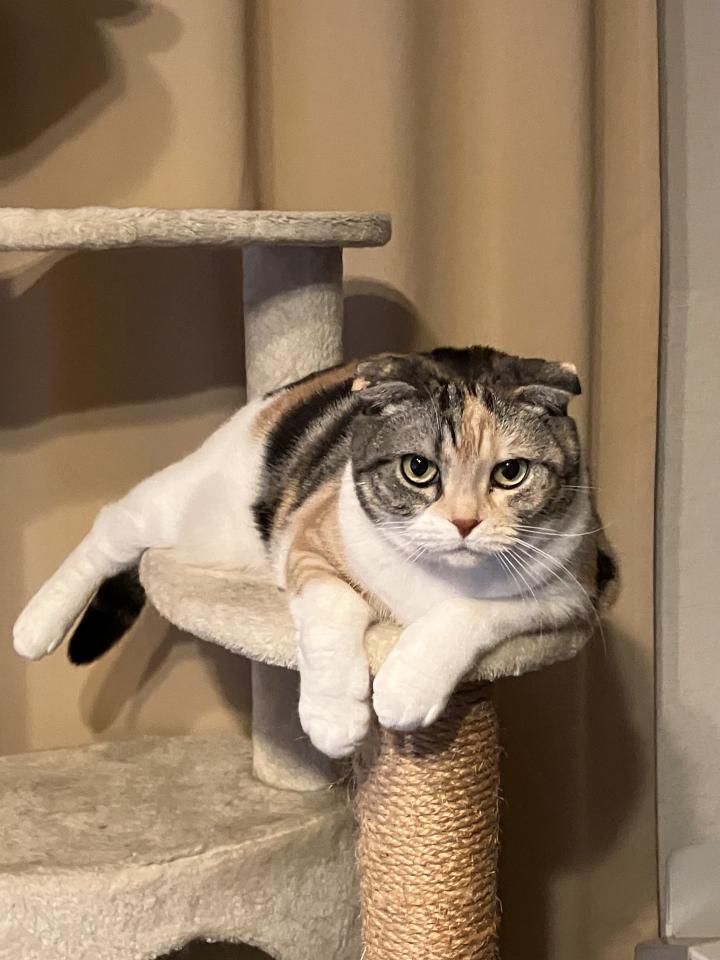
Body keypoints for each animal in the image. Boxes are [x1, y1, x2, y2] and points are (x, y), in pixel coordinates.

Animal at [13, 346, 616, 758]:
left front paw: (406, 687)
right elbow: (334, 611)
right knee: (115, 525)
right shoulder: (310, 543)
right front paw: (334, 718)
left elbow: (471, 611)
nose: (464, 522)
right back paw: (35, 628)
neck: (435, 577)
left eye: (511, 473)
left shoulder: (573, 591)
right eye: (418, 469)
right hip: (200, 516)